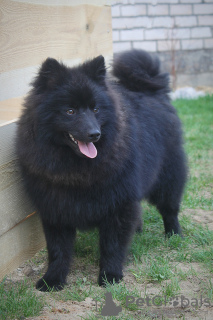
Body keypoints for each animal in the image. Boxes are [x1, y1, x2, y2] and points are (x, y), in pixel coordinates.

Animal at [15, 49, 187, 290]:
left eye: (96, 109)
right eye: (70, 111)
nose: (94, 134)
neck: (77, 170)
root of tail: (153, 91)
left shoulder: (118, 204)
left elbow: (112, 245)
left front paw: (110, 275)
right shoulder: (55, 207)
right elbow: (57, 250)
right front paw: (53, 279)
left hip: (168, 178)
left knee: (169, 209)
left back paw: (173, 235)